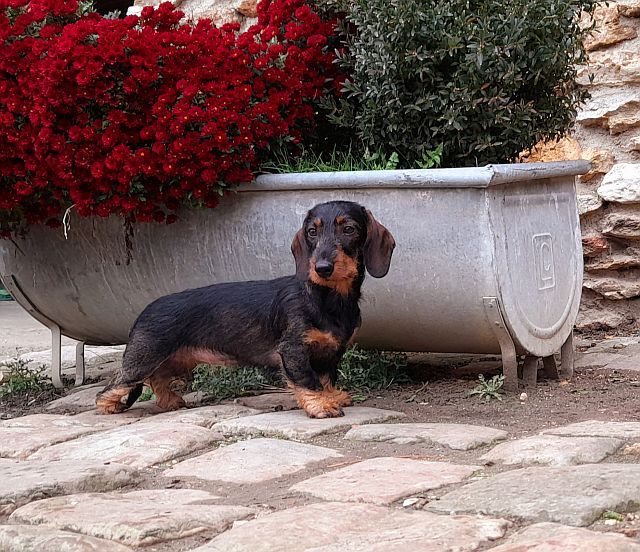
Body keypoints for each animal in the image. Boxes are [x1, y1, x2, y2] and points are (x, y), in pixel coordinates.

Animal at [95, 202, 396, 418]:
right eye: (312, 232)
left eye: (349, 229)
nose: (322, 268)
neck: (327, 298)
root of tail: (145, 309)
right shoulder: (293, 350)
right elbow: (308, 380)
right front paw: (321, 405)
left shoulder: (331, 351)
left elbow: (325, 378)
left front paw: (332, 395)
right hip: (143, 358)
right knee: (113, 386)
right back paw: (109, 406)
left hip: (175, 360)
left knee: (156, 378)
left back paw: (170, 401)